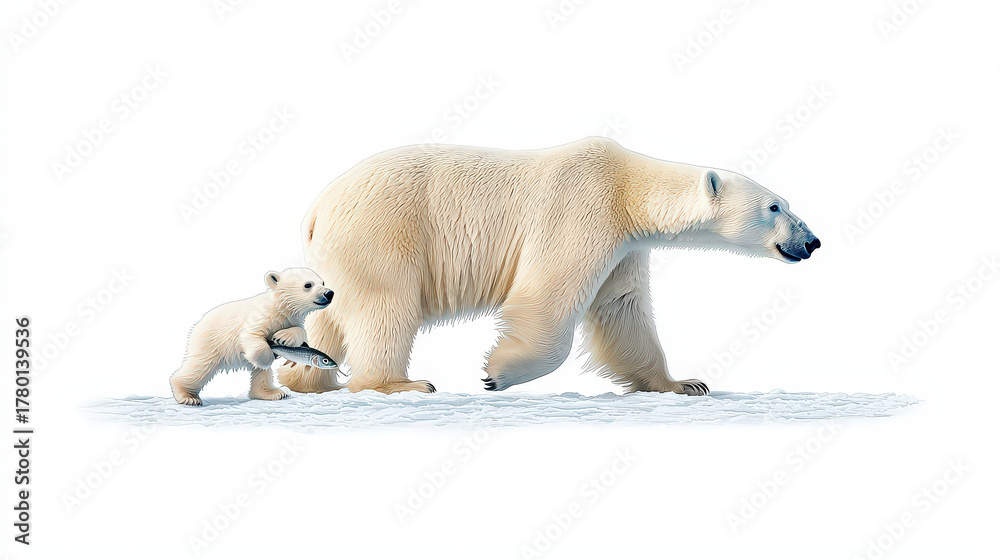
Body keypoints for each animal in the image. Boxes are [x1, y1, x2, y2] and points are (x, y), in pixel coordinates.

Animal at [170, 268, 334, 405]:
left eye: (323, 282)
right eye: (308, 285)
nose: (329, 293)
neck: (280, 308)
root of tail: (197, 324)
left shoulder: (291, 320)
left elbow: (300, 331)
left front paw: (283, 337)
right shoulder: (261, 316)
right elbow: (251, 334)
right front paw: (268, 356)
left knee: (261, 374)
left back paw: (274, 393)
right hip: (210, 341)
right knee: (199, 366)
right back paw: (188, 397)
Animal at [277, 137, 819, 396]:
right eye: (775, 206)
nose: (811, 241)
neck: (627, 188)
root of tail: (317, 209)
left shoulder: (625, 247)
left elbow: (624, 312)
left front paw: (684, 383)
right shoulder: (582, 208)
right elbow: (547, 296)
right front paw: (498, 372)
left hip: (338, 255)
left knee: (330, 315)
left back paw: (309, 379)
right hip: (384, 231)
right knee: (386, 305)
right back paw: (399, 382)